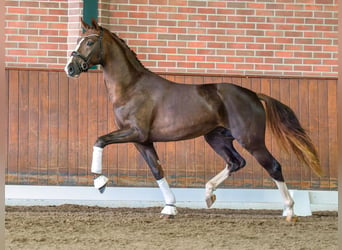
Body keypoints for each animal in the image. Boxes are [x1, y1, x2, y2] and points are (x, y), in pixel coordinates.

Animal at [65, 19, 324, 221]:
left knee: (273, 166)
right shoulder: (143, 141)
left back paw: (289, 211)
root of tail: (252, 94)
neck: (132, 88)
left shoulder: (135, 133)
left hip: (251, 140)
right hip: (217, 138)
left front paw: (100, 182)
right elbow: (157, 170)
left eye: (89, 42)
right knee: (236, 162)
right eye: (79, 40)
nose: (70, 68)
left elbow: (99, 140)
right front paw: (170, 207)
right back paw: (208, 195)